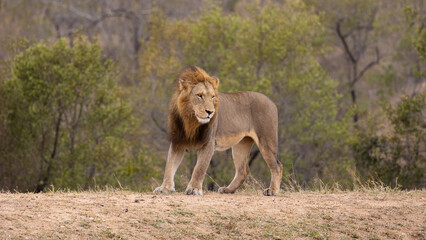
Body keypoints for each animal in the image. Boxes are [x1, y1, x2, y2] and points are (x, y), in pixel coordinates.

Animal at [154, 65, 282, 195]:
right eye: (199, 95)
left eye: (213, 96)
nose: (210, 112)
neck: (190, 119)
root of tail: (271, 102)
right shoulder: (177, 142)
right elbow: (169, 166)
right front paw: (164, 188)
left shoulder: (209, 143)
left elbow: (199, 168)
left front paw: (194, 189)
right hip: (241, 144)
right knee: (243, 170)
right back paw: (228, 189)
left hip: (266, 140)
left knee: (277, 166)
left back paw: (272, 190)